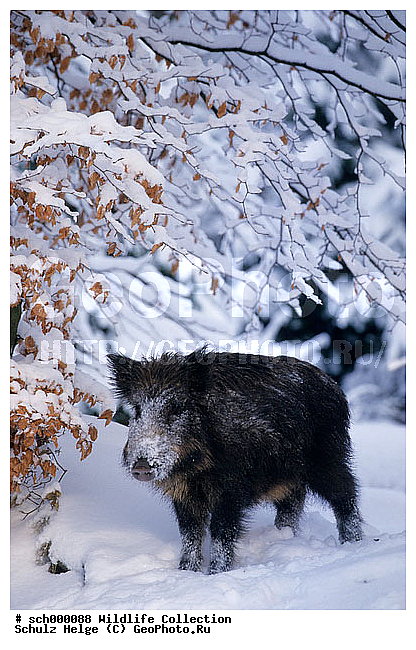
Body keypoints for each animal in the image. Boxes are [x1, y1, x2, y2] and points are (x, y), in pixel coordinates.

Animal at [108, 349, 362, 574]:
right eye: (137, 409)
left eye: (176, 409)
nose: (141, 466)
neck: (197, 467)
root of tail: (335, 388)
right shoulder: (184, 495)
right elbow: (190, 534)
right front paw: (186, 572)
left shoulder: (231, 490)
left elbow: (222, 533)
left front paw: (215, 574)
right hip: (287, 476)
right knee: (293, 503)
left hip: (328, 458)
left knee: (346, 493)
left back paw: (353, 543)